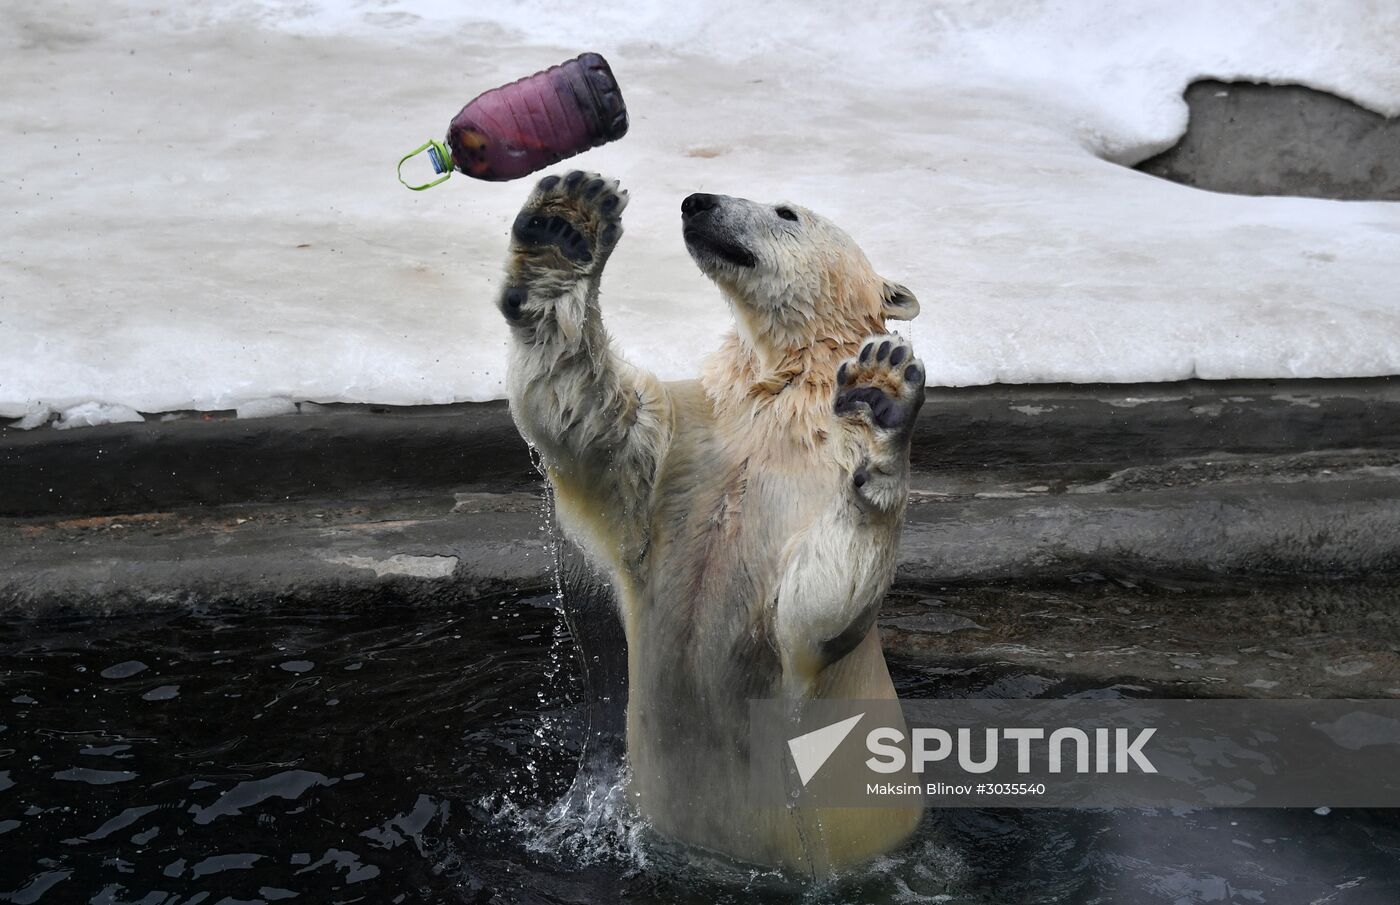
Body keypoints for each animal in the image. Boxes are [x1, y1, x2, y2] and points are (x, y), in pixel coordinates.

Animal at [498, 172, 924, 879]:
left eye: (786, 212)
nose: (697, 202)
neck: (782, 402)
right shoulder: (693, 440)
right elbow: (595, 424)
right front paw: (565, 228)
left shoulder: (807, 500)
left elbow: (817, 603)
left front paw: (881, 402)